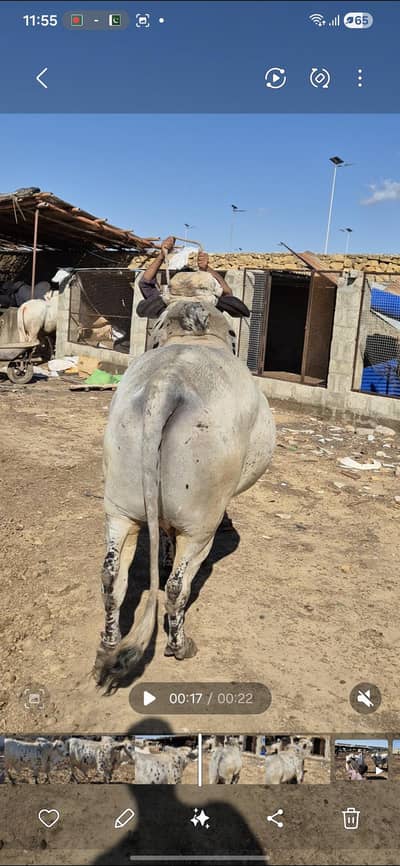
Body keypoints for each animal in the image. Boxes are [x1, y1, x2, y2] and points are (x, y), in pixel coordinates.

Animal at [94, 275, 276, 694]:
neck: (195, 339)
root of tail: (167, 385)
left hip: (119, 510)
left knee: (112, 578)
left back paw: (108, 644)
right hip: (200, 525)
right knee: (178, 588)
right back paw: (180, 645)